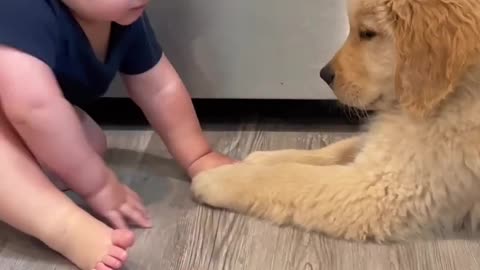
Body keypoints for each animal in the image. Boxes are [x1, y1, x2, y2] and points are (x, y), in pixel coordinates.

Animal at [189, 0, 480, 242]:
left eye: (368, 33)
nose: (324, 75)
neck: (456, 92)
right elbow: (335, 149)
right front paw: (264, 158)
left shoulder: (384, 190)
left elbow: (291, 177)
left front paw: (219, 178)